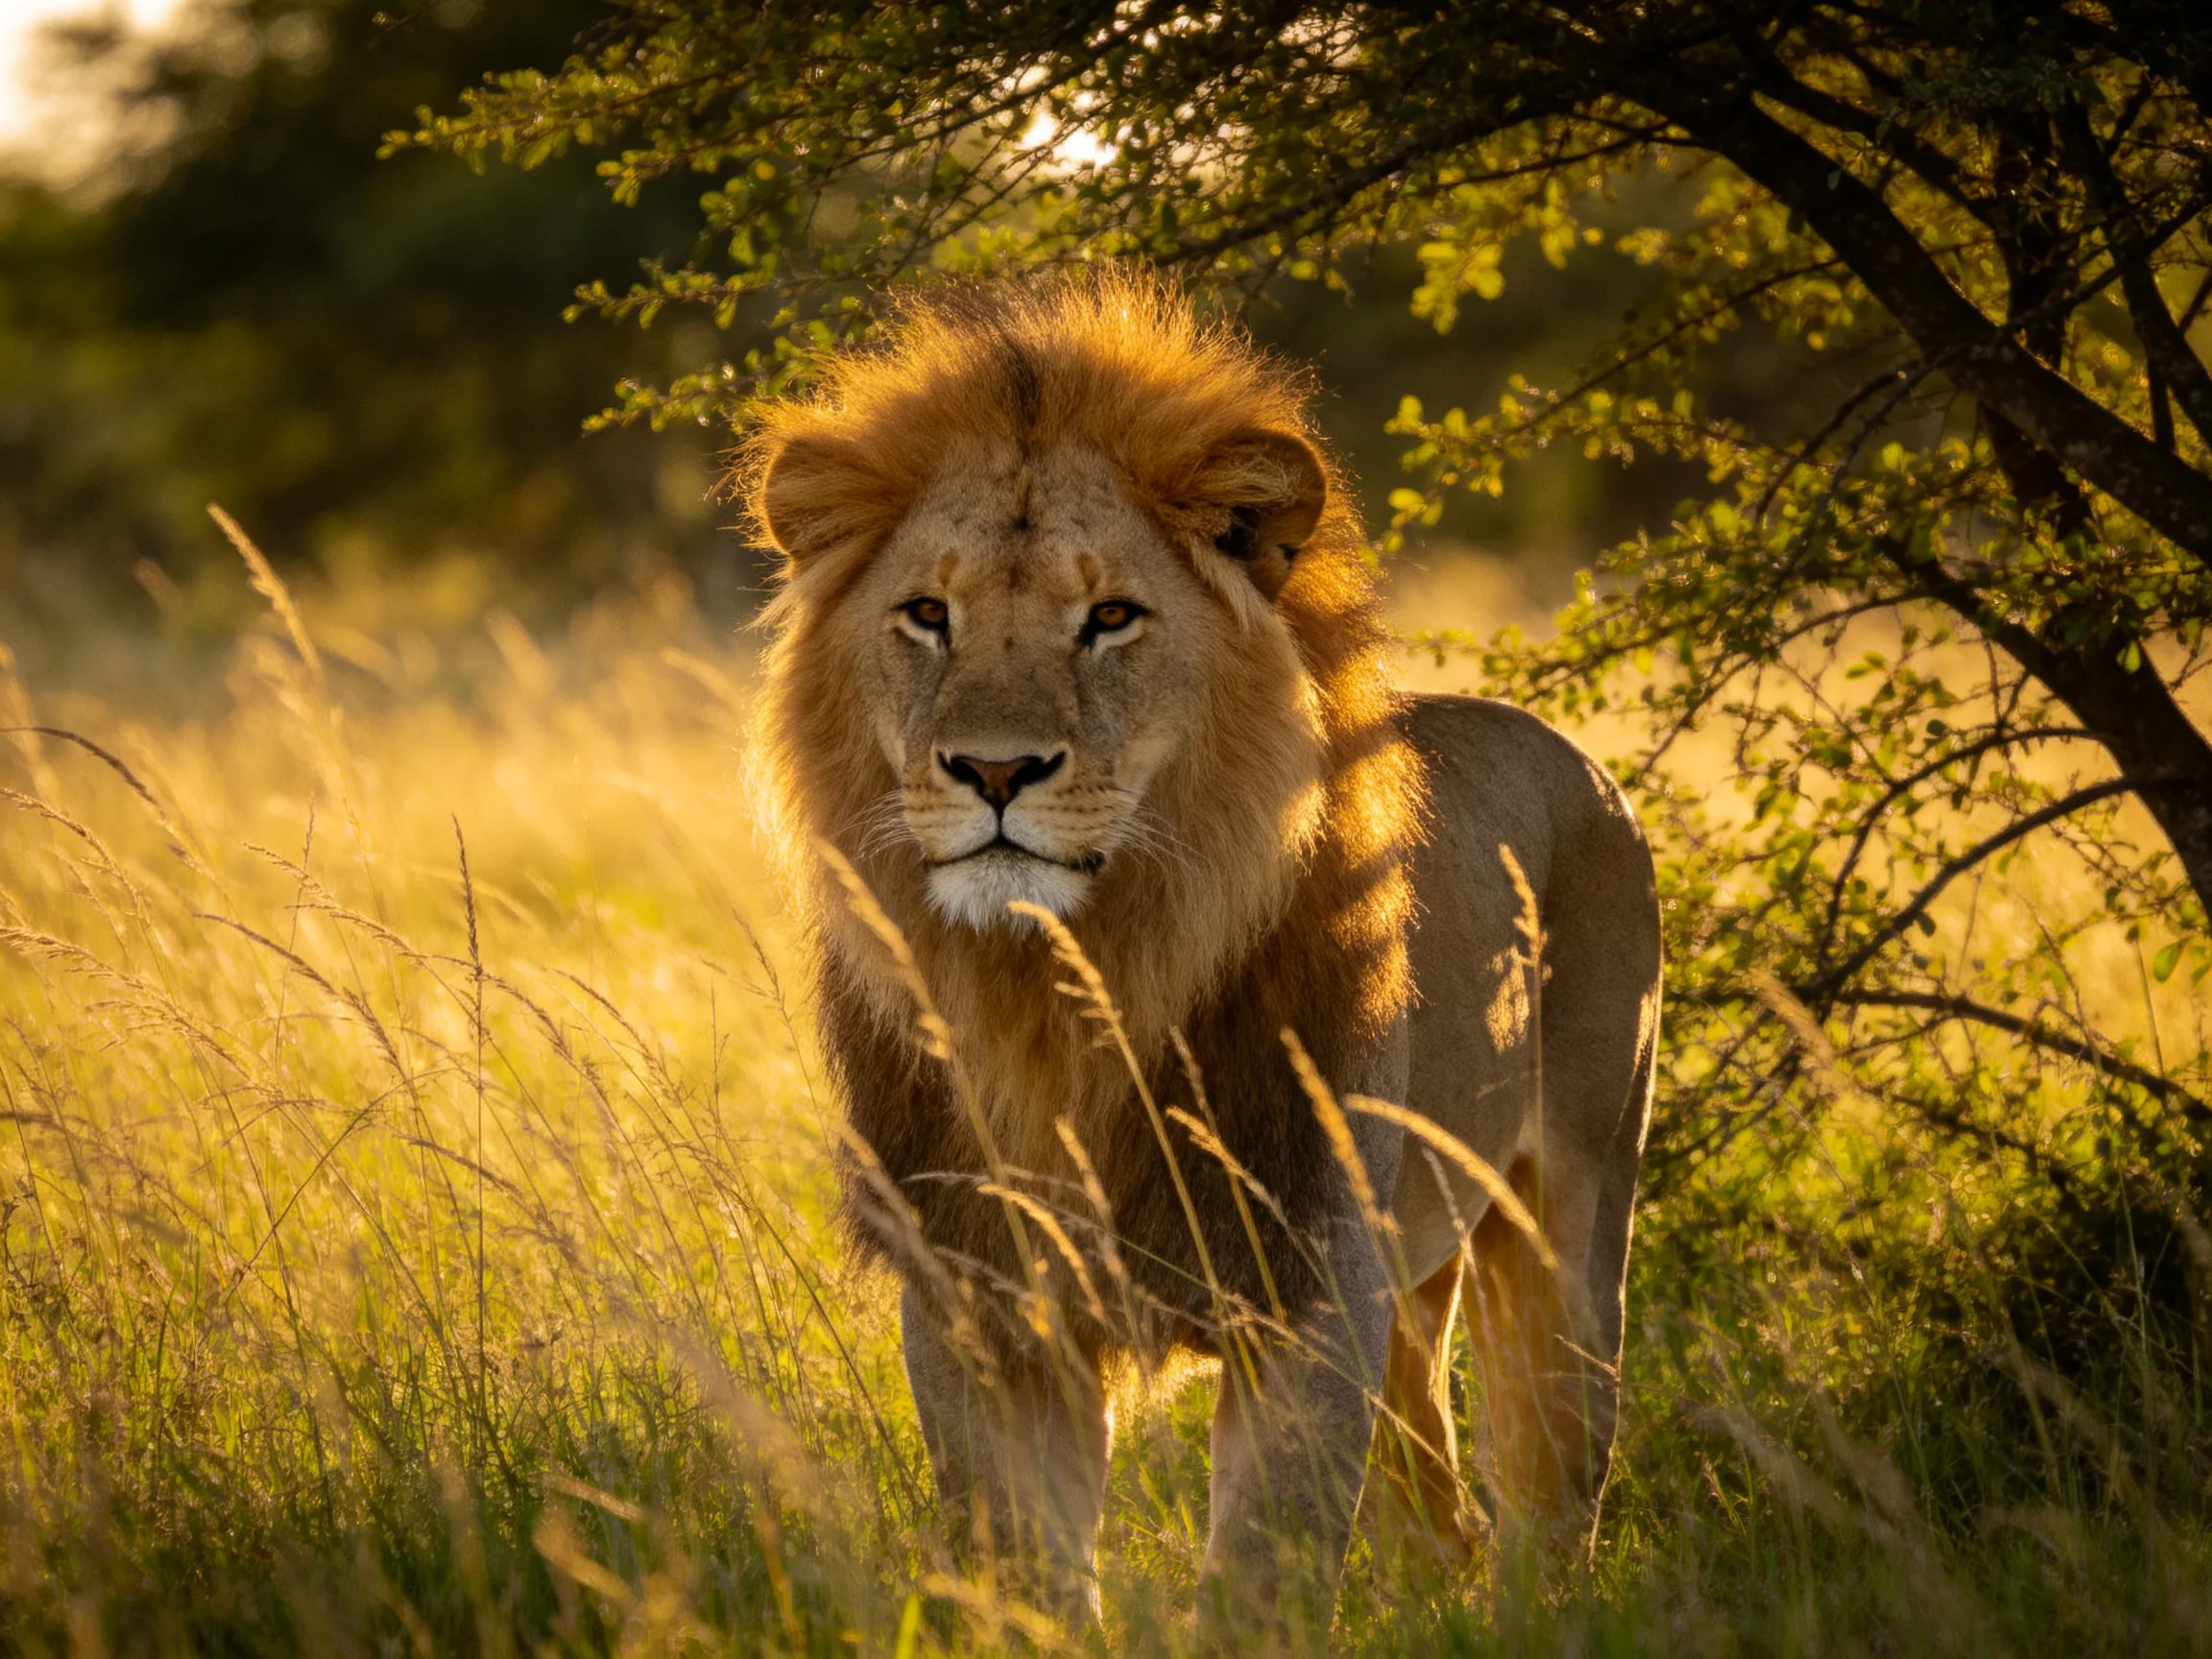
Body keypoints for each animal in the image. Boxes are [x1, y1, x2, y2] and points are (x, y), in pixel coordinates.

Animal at [744, 275, 1660, 1636]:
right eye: (928, 615)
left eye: (1111, 617)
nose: (996, 771)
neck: (1065, 989)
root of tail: (1579, 759)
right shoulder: (980, 1296)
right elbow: (1025, 1570)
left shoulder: (1308, 1285)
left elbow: (1264, 1582)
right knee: (1435, 1496)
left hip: (1571, 1218)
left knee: (1552, 1473)